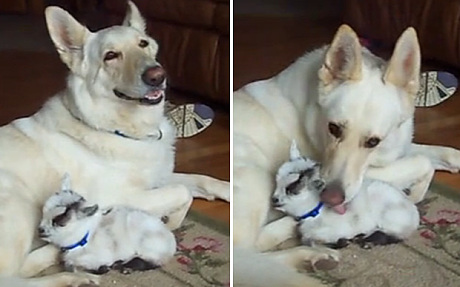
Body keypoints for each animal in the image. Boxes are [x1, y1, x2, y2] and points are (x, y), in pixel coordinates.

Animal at [38, 176, 176, 274]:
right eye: (43, 211)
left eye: (60, 222)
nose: (40, 230)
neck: (85, 238)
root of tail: (172, 242)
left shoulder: (100, 256)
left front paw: (104, 268)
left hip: (149, 246)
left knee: (153, 262)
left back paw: (125, 267)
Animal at [274, 142, 420, 250]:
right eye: (277, 179)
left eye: (292, 187)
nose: (274, 199)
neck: (315, 213)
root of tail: (415, 215)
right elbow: (309, 242)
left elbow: (311, 242)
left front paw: (342, 242)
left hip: (390, 217)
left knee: (395, 236)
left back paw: (366, 242)